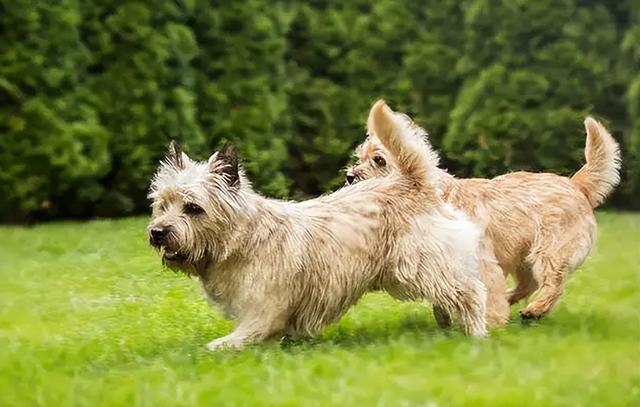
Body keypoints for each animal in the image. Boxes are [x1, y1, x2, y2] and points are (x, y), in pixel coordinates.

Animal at [149, 101, 490, 350]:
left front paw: (216, 347)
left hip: (422, 264)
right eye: (162, 204)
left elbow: (242, 336)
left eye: (193, 208)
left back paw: (476, 335)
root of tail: (412, 181)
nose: (157, 232)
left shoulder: (263, 310)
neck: (241, 240)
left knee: (470, 293)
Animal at [344, 115, 620, 322]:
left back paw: (535, 309)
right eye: (359, 157)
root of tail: (575, 184)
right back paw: (513, 301)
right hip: (524, 257)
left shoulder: (481, 261)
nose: (349, 176)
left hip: (550, 250)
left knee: (553, 282)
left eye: (379, 160)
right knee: (529, 284)